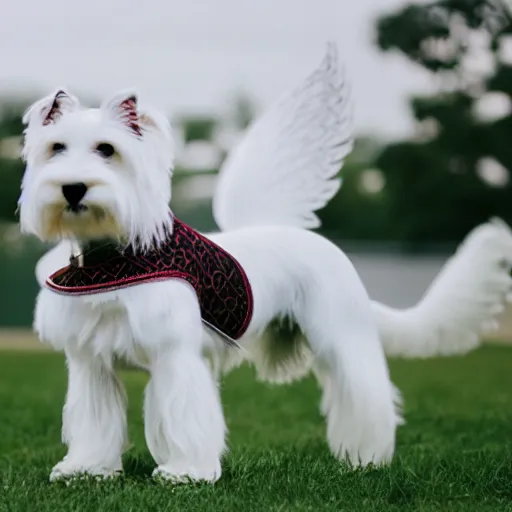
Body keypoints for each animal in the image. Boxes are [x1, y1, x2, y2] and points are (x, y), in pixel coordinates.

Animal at [18, 45, 512, 484]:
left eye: (107, 149)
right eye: (56, 148)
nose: (73, 188)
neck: (111, 255)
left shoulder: (175, 355)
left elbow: (183, 417)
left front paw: (186, 473)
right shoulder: (91, 364)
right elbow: (94, 424)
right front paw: (86, 469)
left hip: (343, 338)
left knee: (367, 399)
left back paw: (366, 459)